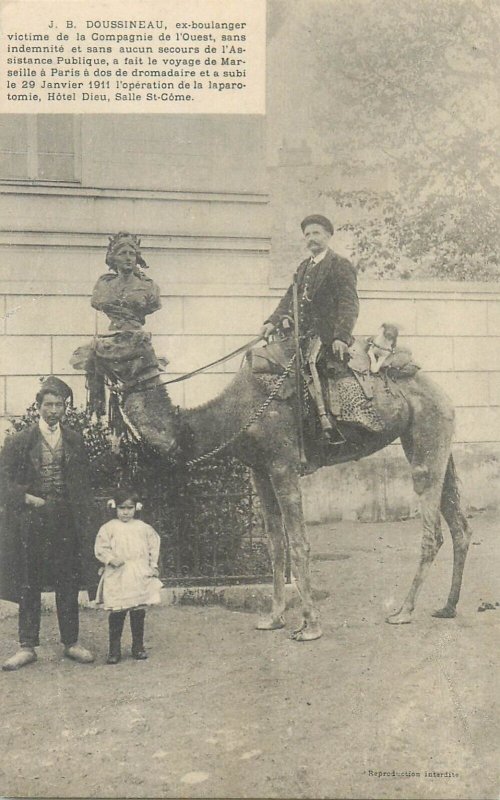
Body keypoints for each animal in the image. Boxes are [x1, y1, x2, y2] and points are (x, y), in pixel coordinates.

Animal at [84, 340, 470, 640]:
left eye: (120, 344)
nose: (85, 351)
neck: (235, 413)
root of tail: (442, 393)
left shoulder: (283, 466)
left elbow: (299, 545)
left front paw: (310, 626)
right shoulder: (260, 472)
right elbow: (275, 546)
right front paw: (273, 618)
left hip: (426, 438)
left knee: (432, 530)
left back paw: (404, 611)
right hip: (434, 442)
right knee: (460, 526)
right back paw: (447, 607)